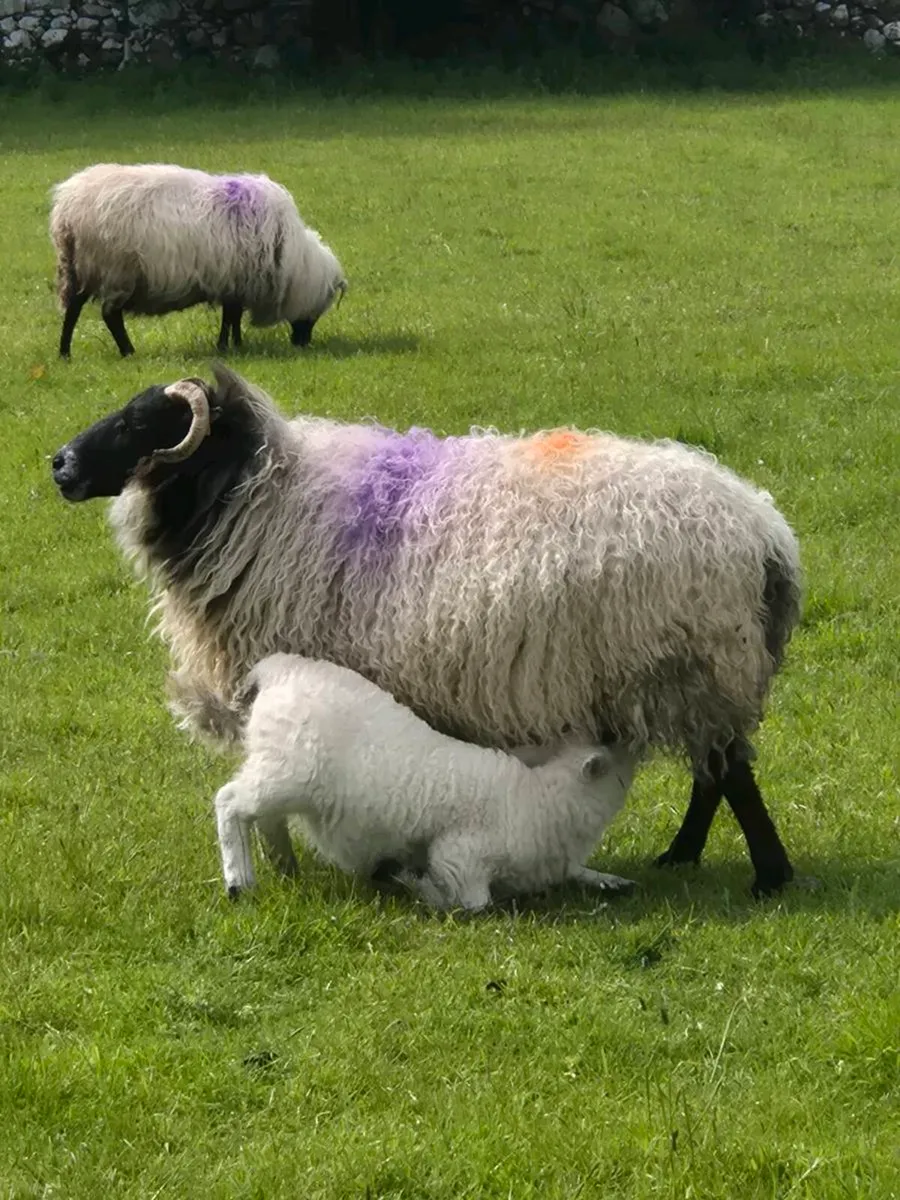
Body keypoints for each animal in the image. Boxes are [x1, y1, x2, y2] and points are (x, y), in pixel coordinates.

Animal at [49, 163, 347, 359]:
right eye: (318, 310)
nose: (302, 343)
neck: (291, 263)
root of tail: (68, 208)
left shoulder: (233, 283)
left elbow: (232, 316)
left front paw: (235, 345)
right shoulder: (237, 280)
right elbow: (231, 316)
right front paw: (228, 347)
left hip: (82, 269)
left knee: (73, 309)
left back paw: (65, 353)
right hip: (114, 269)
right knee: (110, 315)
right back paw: (128, 351)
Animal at [189, 652, 638, 907]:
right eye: (614, 755)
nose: (632, 738)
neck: (541, 799)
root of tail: (279, 669)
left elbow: (578, 872)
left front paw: (611, 880)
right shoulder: (460, 855)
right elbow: (474, 902)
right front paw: (417, 885)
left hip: (277, 770)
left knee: (263, 817)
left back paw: (284, 866)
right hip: (288, 772)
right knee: (230, 802)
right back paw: (239, 881)